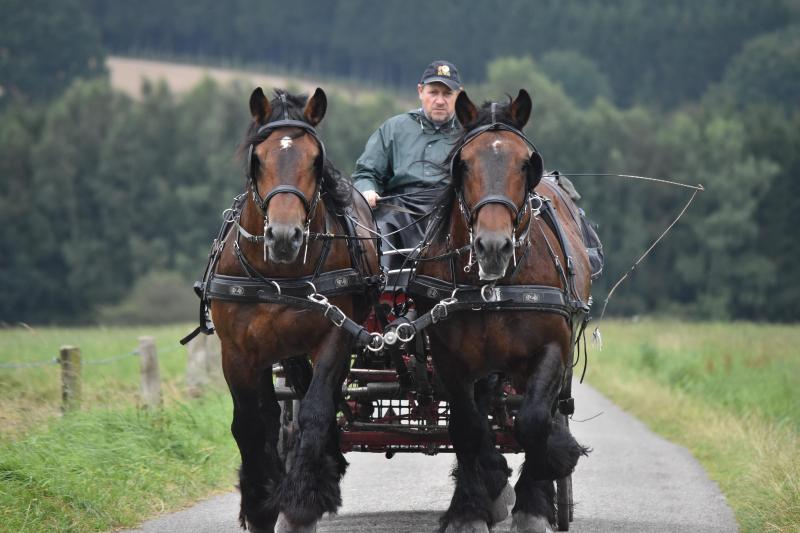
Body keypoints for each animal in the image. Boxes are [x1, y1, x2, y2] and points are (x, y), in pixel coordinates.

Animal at [208, 88, 380, 532]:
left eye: (316, 160)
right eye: (257, 158)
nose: (285, 237)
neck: (278, 274)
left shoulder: (335, 336)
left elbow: (317, 410)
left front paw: (303, 499)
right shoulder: (237, 353)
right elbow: (252, 424)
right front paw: (259, 502)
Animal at [412, 89, 592, 528]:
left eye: (526, 163)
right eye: (462, 164)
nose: (493, 247)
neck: (493, 286)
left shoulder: (552, 351)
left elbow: (533, 423)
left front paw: (535, 502)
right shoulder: (450, 359)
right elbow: (466, 429)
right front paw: (469, 509)